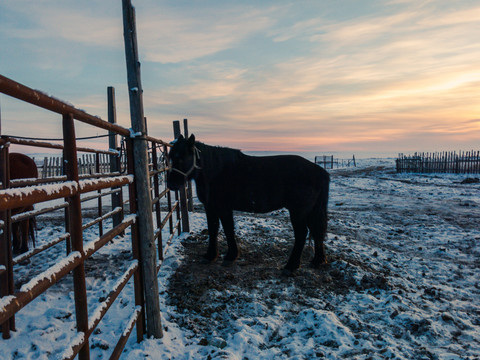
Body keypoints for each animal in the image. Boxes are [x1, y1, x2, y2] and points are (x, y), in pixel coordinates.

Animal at [166, 134, 330, 272]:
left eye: (182, 157)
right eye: (171, 157)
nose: (171, 184)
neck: (215, 171)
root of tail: (320, 171)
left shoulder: (223, 208)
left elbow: (227, 230)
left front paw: (229, 256)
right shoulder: (211, 207)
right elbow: (213, 229)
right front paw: (211, 256)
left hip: (298, 212)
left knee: (302, 234)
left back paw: (291, 266)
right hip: (310, 211)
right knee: (316, 231)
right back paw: (317, 261)